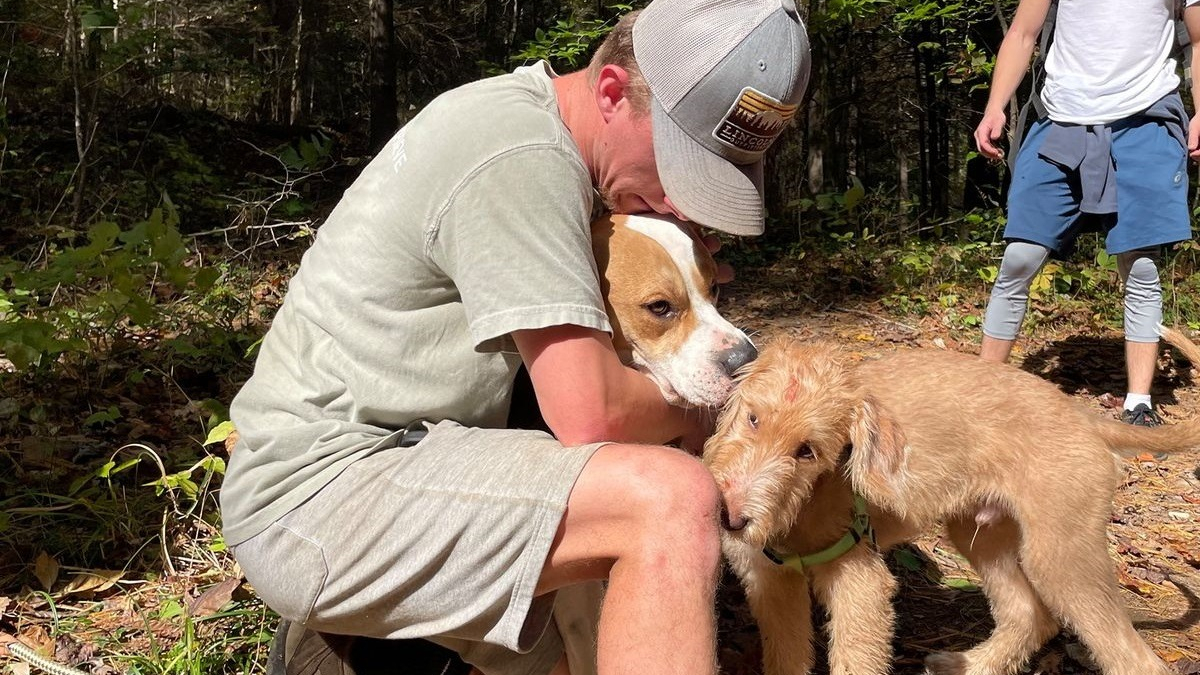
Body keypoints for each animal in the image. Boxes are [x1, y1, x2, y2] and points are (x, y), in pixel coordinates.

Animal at [700, 329, 1200, 672]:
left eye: (807, 451)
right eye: (752, 419)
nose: (730, 517)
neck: (806, 503)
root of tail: (1084, 416)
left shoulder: (859, 582)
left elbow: (856, 659)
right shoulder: (770, 580)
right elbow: (787, 656)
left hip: (1060, 557)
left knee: (1136, 659)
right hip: (981, 535)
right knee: (1030, 616)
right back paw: (971, 665)